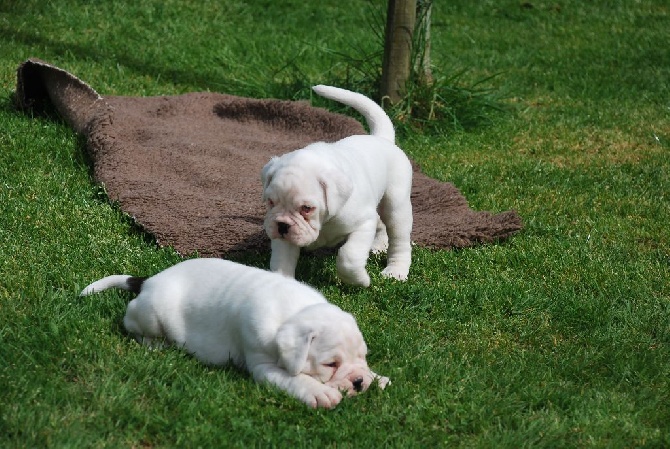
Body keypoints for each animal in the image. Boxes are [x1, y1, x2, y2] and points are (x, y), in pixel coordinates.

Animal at [81, 258, 392, 408]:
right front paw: (318, 393)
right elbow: (294, 378)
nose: (359, 382)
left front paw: (377, 378)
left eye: (363, 357)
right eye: (330, 364)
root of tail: (150, 281)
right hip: (151, 314)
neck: (295, 311)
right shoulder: (264, 365)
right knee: (132, 325)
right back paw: (157, 345)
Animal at [260, 84, 412, 288]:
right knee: (382, 224)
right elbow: (281, 261)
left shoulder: (363, 224)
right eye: (270, 202)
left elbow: (348, 257)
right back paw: (379, 246)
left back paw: (396, 271)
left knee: (399, 239)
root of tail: (382, 139)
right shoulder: (285, 238)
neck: (324, 221)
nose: (282, 225)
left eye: (307, 208)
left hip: (396, 206)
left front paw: (360, 280)